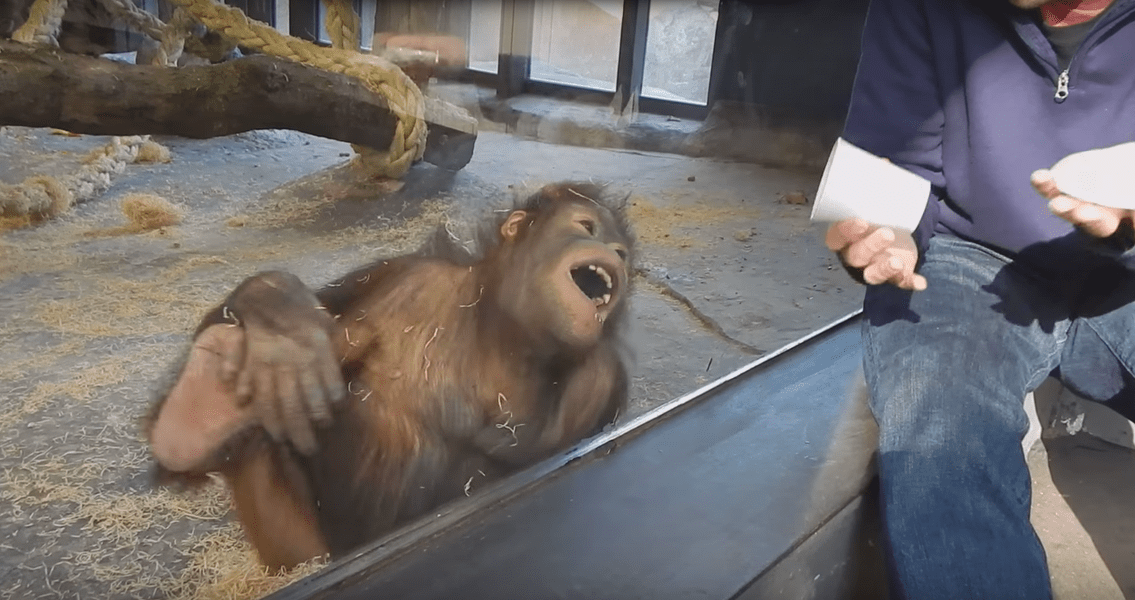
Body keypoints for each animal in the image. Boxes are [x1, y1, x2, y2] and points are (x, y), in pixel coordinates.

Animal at [144, 182, 635, 570]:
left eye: (621, 253)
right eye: (587, 227)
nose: (614, 257)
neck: (503, 327)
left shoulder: (601, 376)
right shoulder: (399, 272)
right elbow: (330, 311)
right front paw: (279, 318)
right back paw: (202, 406)